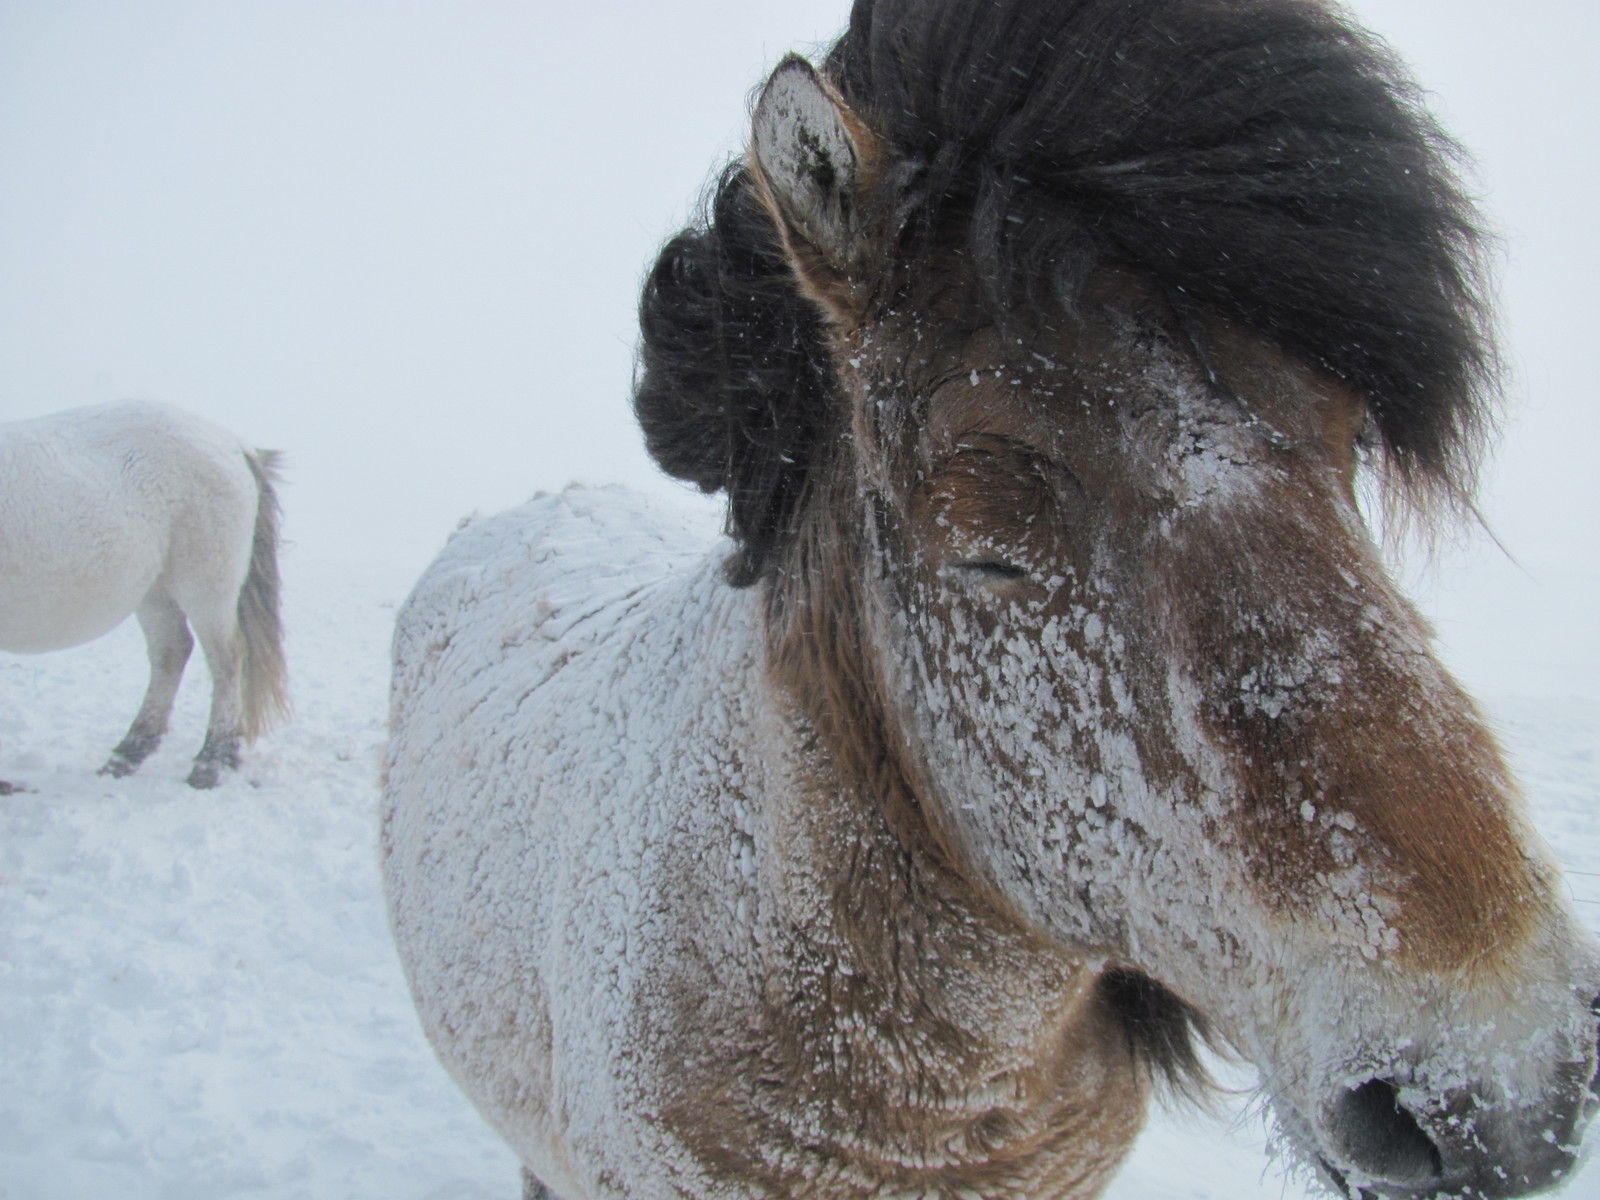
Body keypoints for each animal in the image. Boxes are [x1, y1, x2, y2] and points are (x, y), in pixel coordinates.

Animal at [1, 404, 288, 793]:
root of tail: (233, 443)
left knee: (227, 661)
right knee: (171, 652)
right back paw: (129, 754)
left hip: (206, 588)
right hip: (154, 592)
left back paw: (209, 762)